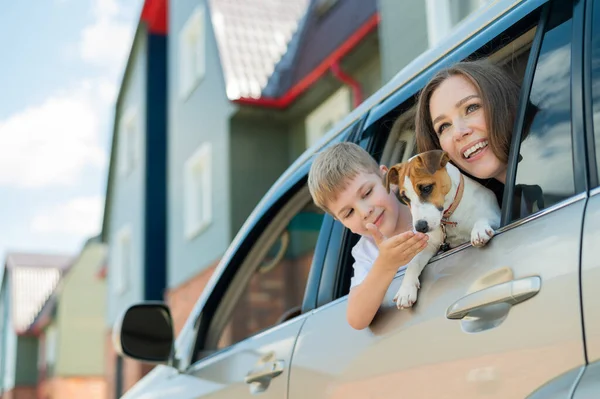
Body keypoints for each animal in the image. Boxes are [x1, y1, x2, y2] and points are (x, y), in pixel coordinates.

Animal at [384, 150, 502, 310]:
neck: (449, 216)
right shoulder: (429, 246)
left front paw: (479, 230)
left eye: (426, 188)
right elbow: (413, 263)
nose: (420, 228)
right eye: (405, 198)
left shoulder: (496, 215)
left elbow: (483, 218)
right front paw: (406, 290)